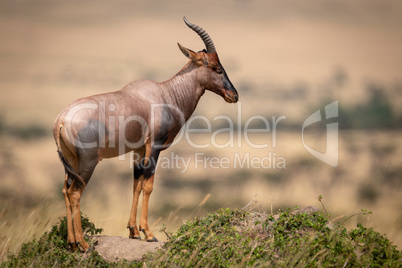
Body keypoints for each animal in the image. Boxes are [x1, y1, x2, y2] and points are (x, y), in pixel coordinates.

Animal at [51, 17, 237, 251]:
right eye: (215, 67)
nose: (234, 95)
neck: (165, 93)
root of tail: (61, 119)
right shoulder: (154, 146)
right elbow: (149, 185)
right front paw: (148, 233)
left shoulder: (138, 150)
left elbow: (136, 184)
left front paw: (133, 231)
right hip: (87, 161)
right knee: (75, 192)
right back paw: (83, 244)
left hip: (71, 161)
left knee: (65, 191)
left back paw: (71, 243)